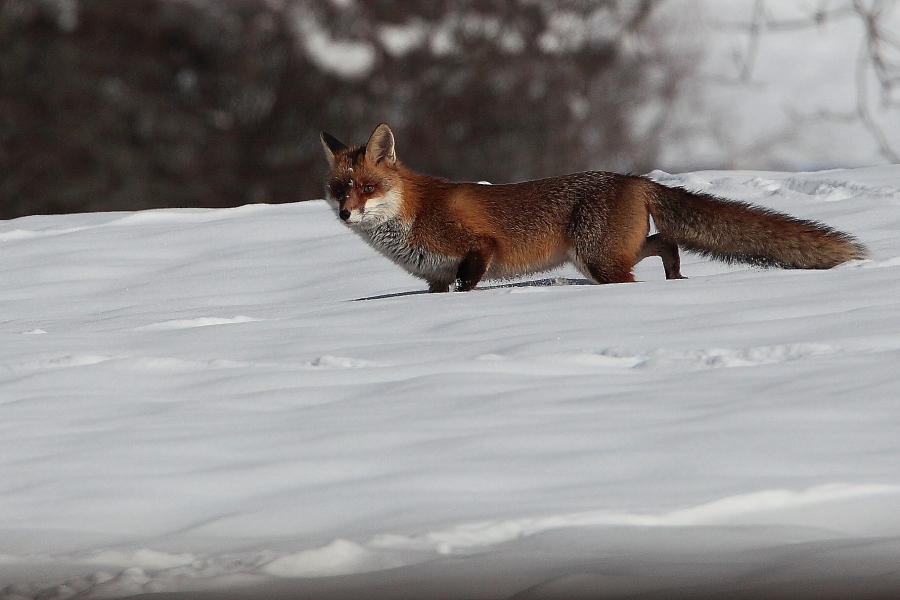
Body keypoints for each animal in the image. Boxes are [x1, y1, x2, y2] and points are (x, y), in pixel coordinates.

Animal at [320, 123, 868, 292]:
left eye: (366, 187)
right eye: (339, 189)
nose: (346, 214)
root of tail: (635, 179)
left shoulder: (477, 246)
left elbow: (467, 284)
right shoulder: (432, 276)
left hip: (598, 260)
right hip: (602, 256)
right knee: (666, 242)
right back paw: (677, 280)